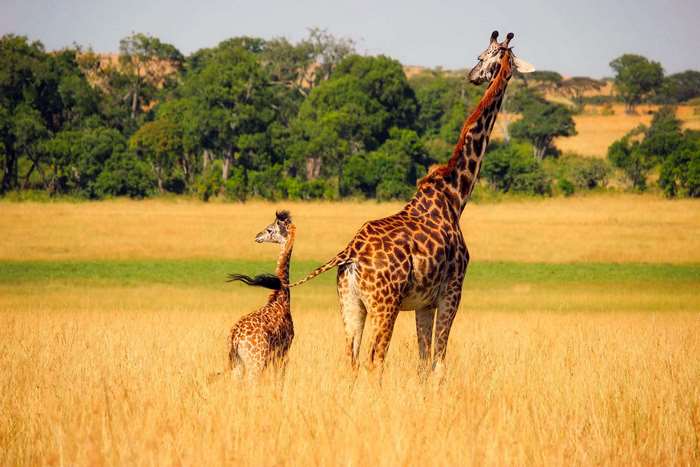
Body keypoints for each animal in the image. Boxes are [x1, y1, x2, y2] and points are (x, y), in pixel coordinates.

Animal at [225, 210, 296, 377]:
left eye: (270, 229)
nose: (257, 236)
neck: (281, 297)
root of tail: (235, 337)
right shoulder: (283, 351)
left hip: (238, 364)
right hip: (255, 363)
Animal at [290, 31, 535, 372]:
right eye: (481, 56)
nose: (473, 76)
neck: (455, 195)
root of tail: (349, 253)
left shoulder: (424, 303)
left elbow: (423, 361)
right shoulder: (452, 291)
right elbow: (439, 363)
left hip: (351, 304)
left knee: (351, 359)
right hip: (385, 304)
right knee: (374, 359)